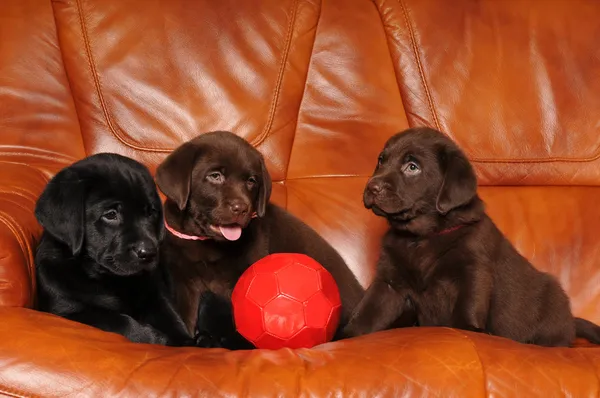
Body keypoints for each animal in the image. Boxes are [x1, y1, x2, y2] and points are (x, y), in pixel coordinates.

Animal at [35, 152, 202, 346]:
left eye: (151, 212)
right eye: (110, 215)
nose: (149, 253)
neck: (108, 278)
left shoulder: (157, 293)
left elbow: (171, 317)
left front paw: (185, 343)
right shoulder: (65, 309)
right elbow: (116, 320)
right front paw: (154, 337)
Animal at [155, 131, 364, 348]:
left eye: (251, 181)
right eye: (215, 176)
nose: (241, 208)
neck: (207, 242)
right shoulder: (183, 282)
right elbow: (186, 317)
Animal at [342, 127, 600, 346]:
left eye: (413, 167)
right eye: (381, 160)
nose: (371, 187)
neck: (421, 236)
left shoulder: (473, 270)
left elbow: (468, 304)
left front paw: (468, 330)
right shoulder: (389, 282)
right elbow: (367, 311)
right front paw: (345, 336)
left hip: (552, 301)